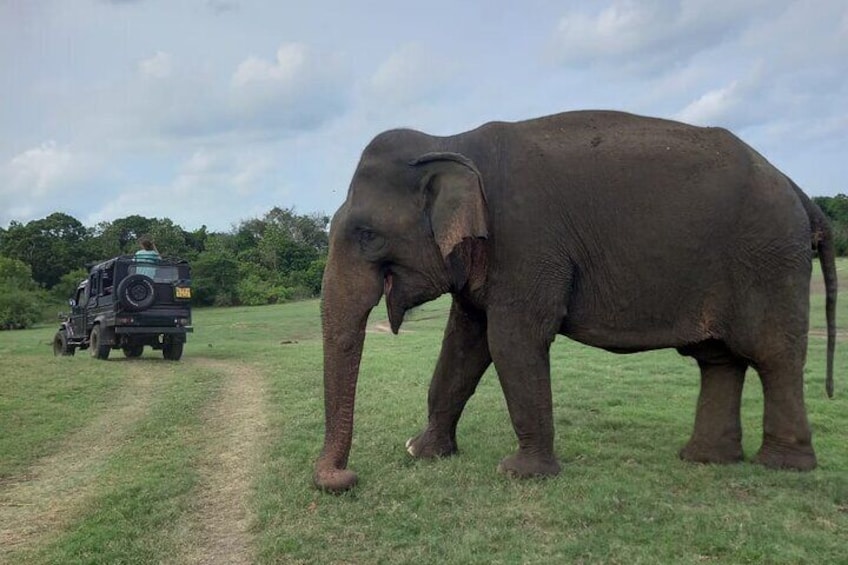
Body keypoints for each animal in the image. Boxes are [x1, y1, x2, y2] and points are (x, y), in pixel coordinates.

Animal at [314, 109, 840, 490]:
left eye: (366, 235)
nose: (344, 478)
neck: (452, 141)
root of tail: (798, 191)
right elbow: (463, 346)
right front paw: (421, 452)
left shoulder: (526, 243)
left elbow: (512, 340)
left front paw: (520, 473)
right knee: (719, 358)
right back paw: (706, 460)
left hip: (768, 260)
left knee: (773, 355)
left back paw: (782, 466)